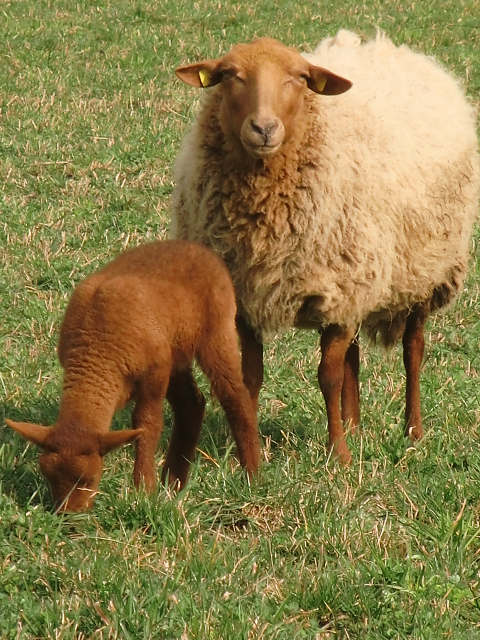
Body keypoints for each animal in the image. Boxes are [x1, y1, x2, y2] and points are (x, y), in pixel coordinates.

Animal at [5, 238, 260, 512]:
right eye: (48, 477)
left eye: (89, 479)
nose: (68, 515)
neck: (96, 352)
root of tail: (200, 249)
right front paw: (153, 488)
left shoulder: (154, 374)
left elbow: (146, 423)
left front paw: (143, 490)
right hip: (174, 353)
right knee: (192, 405)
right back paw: (174, 482)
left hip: (216, 334)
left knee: (235, 397)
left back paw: (252, 474)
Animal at [172, 31, 480, 464]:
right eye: (229, 75)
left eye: (299, 78)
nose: (263, 128)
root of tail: (388, 47)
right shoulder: (245, 295)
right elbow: (251, 377)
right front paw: (245, 454)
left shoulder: (342, 288)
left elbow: (328, 377)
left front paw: (340, 456)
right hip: (360, 284)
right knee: (353, 355)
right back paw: (354, 425)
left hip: (425, 271)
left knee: (413, 349)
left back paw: (413, 430)